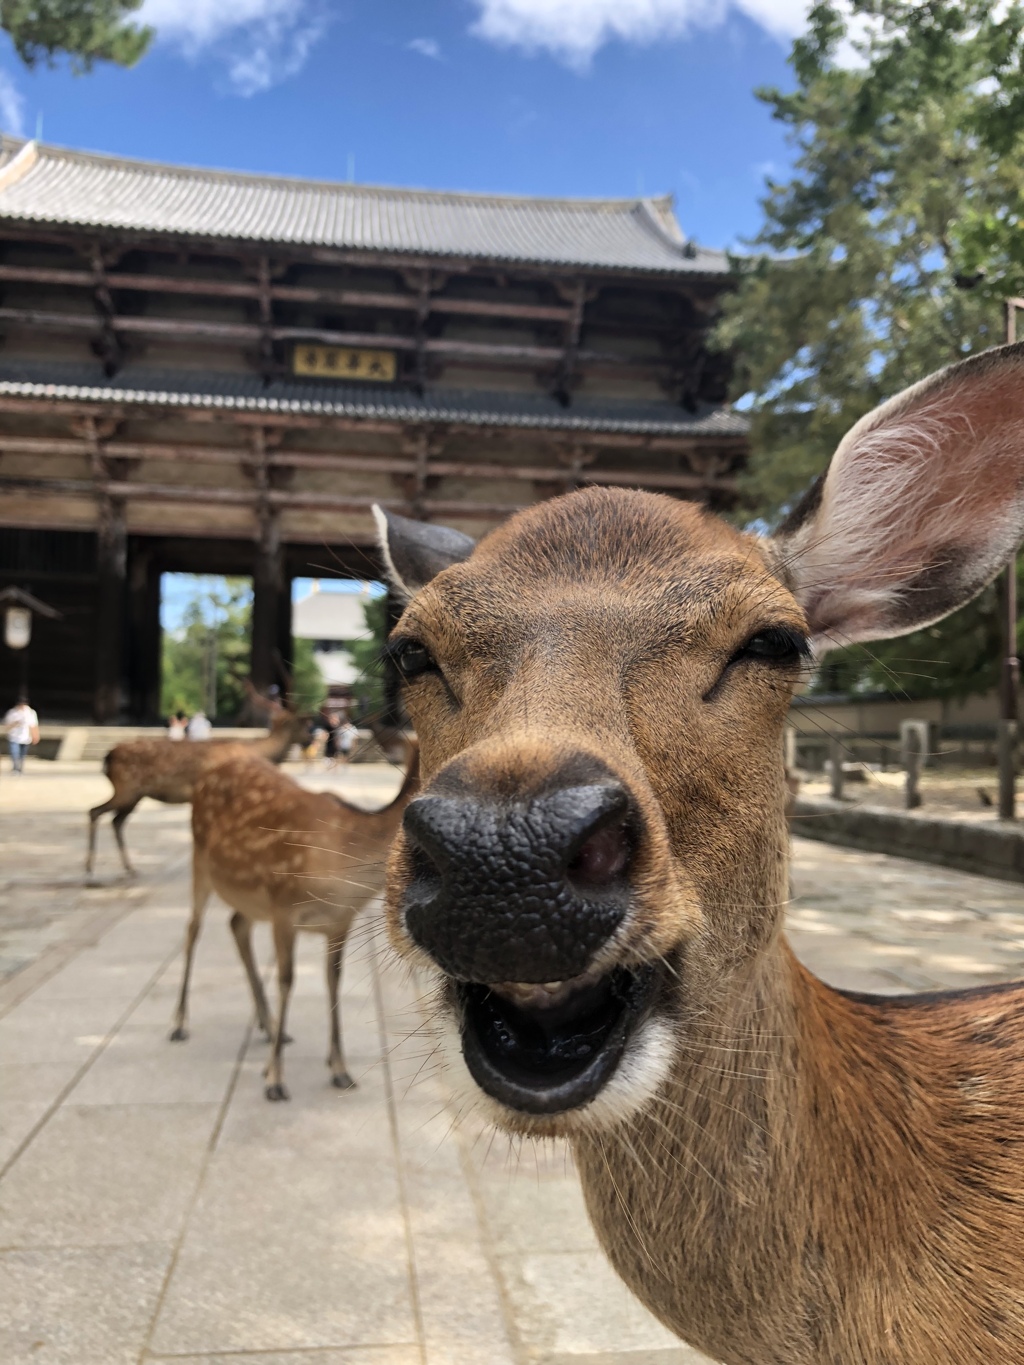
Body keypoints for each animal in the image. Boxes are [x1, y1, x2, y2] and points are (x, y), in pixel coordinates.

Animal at [86, 704, 311, 873]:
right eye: (302, 723)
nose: (310, 740)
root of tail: (108, 757)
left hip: (133, 795)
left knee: (116, 821)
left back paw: (129, 868)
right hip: (126, 788)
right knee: (95, 811)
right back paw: (90, 871)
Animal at [174, 742, 417, 1102]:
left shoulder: (340, 921)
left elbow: (334, 981)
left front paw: (340, 1069)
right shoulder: (283, 908)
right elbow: (287, 981)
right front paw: (275, 1080)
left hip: (248, 897)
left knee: (236, 925)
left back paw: (272, 1026)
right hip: (200, 860)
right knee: (193, 930)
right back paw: (179, 1024)